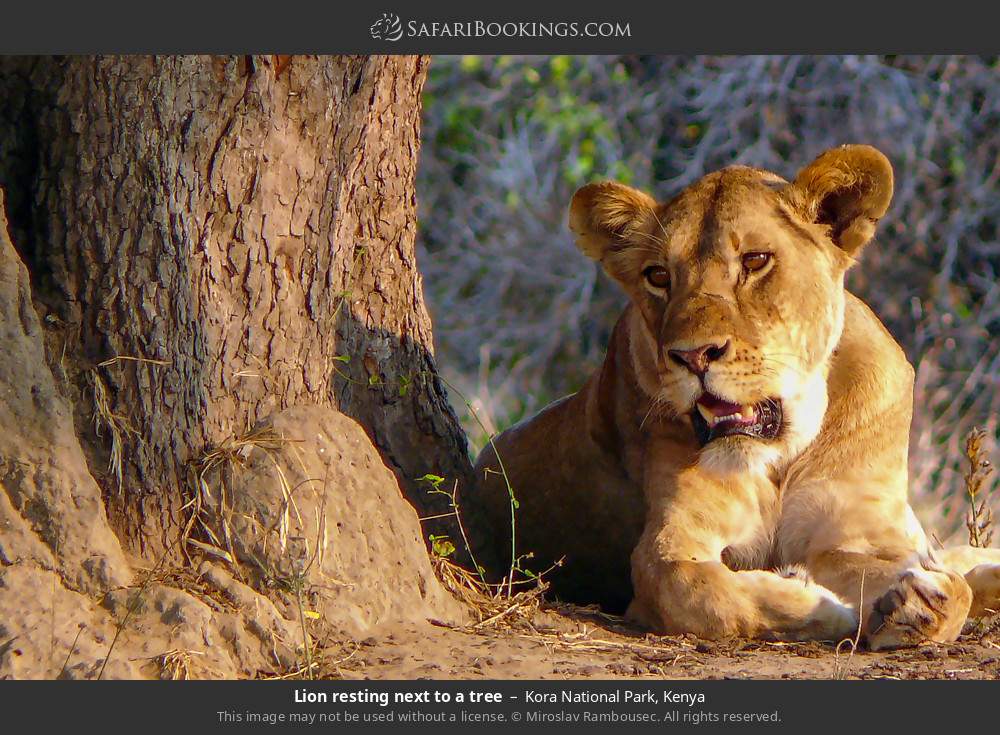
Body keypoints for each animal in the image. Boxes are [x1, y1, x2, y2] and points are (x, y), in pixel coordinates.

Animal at [470, 145, 1000, 650]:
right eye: (658, 276)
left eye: (755, 261)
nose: (693, 356)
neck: (782, 455)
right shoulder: (666, 550)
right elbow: (708, 595)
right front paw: (821, 600)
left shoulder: (854, 540)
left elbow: (944, 585)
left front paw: (918, 605)